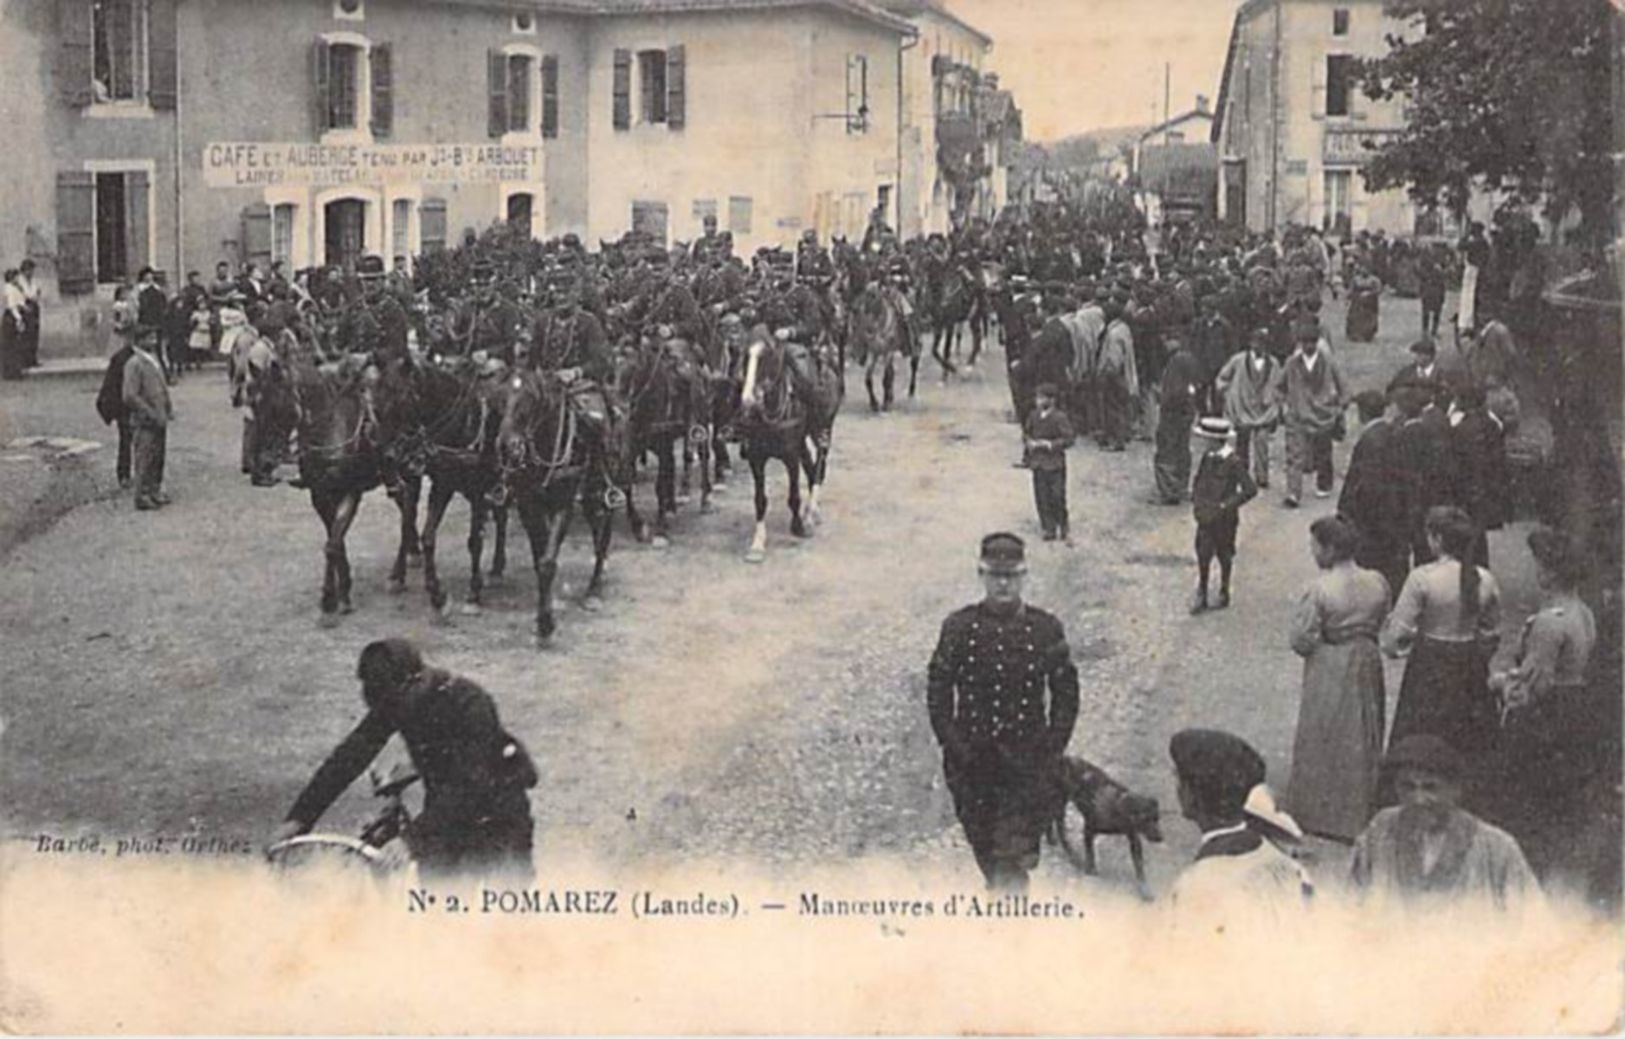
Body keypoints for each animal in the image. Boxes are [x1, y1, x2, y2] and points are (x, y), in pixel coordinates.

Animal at [490, 365, 611, 643]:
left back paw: (595, 589)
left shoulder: (563, 505)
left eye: (530, 399)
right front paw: (543, 617)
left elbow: (547, 563)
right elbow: (540, 558)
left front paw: (546, 623)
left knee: (604, 530)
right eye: (500, 398)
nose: (506, 446)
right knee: (597, 525)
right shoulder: (528, 505)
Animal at [845, 286, 923, 416]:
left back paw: (910, 392)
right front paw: (875, 404)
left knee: (914, 364)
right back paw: (891, 397)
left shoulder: (888, 352)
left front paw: (885, 404)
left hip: (914, 347)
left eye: (855, 325)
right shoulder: (874, 353)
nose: (853, 354)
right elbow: (868, 379)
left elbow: (886, 378)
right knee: (892, 373)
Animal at [1046, 754, 1163, 897]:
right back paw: (1071, 853)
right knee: (1059, 826)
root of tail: (1063, 757)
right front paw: (1090, 870)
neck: (1117, 807)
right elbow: (1090, 854)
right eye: (1145, 820)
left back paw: (1052, 840)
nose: (1161, 837)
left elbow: (1139, 867)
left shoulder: (1134, 838)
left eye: (1157, 818)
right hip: (1060, 801)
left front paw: (1145, 889)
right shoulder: (1088, 829)